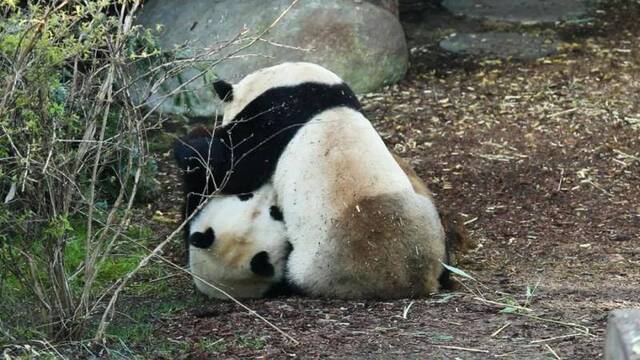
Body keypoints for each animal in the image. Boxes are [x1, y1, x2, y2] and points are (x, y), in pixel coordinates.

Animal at [175, 62, 470, 300]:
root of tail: (412, 281)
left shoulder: (273, 119)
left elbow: (236, 168)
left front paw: (191, 148)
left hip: (315, 264)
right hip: (424, 217)